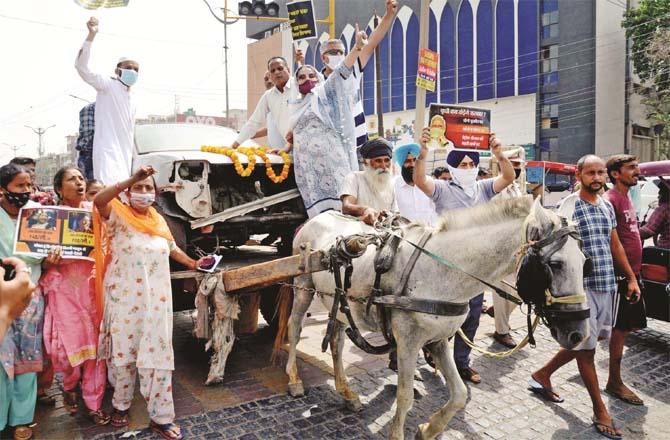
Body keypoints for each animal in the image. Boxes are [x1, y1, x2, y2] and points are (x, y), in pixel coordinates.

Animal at [286, 197, 592, 440]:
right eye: (554, 265)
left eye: (585, 262)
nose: (579, 334)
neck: (441, 270)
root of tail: (319, 216)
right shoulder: (409, 342)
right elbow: (405, 396)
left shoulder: (438, 339)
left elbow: (459, 394)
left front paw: (427, 429)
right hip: (302, 285)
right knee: (295, 327)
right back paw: (294, 380)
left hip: (338, 303)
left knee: (336, 344)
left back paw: (347, 393)